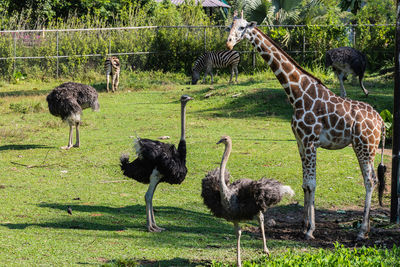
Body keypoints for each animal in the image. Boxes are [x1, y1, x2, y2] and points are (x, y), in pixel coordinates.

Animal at [227, 11, 386, 241]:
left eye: (241, 27)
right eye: (228, 26)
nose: (229, 42)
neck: (297, 95)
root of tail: (381, 121)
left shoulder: (310, 141)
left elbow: (311, 183)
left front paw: (310, 230)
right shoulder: (300, 142)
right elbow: (304, 185)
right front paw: (304, 225)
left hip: (365, 146)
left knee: (370, 180)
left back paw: (362, 231)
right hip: (364, 147)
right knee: (372, 179)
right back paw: (367, 229)